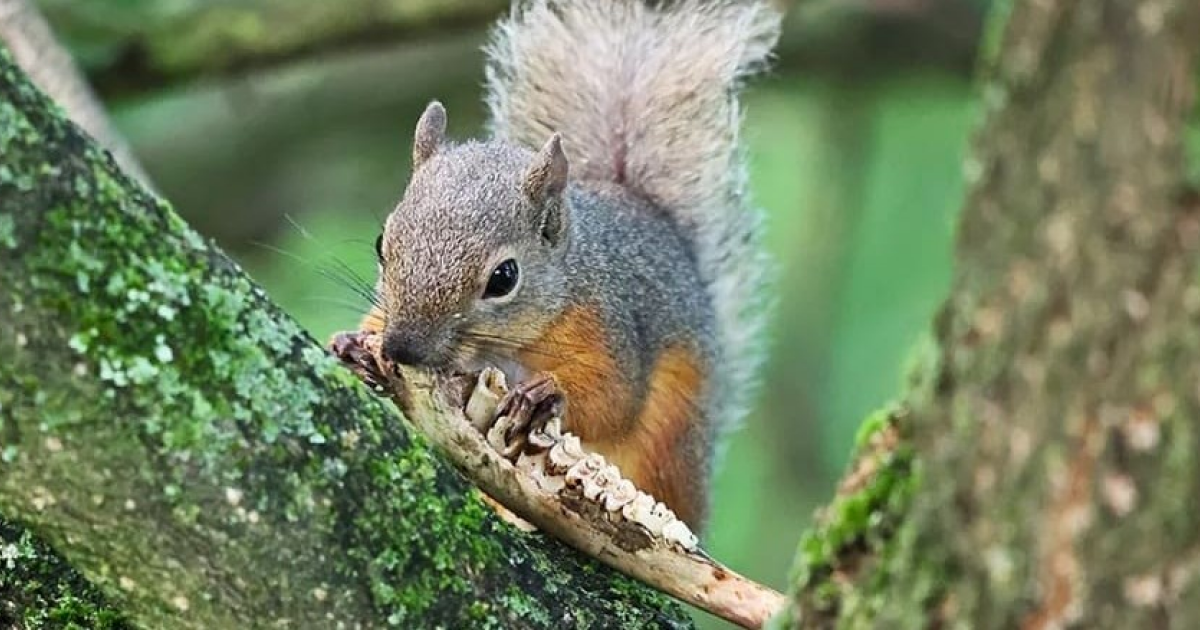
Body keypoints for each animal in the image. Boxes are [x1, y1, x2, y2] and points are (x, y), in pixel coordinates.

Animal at [331, 0, 777, 532]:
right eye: (383, 242)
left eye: (504, 278)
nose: (402, 349)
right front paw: (354, 344)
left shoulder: (607, 324)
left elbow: (613, 399)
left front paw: (546, 396)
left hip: (670, 445)